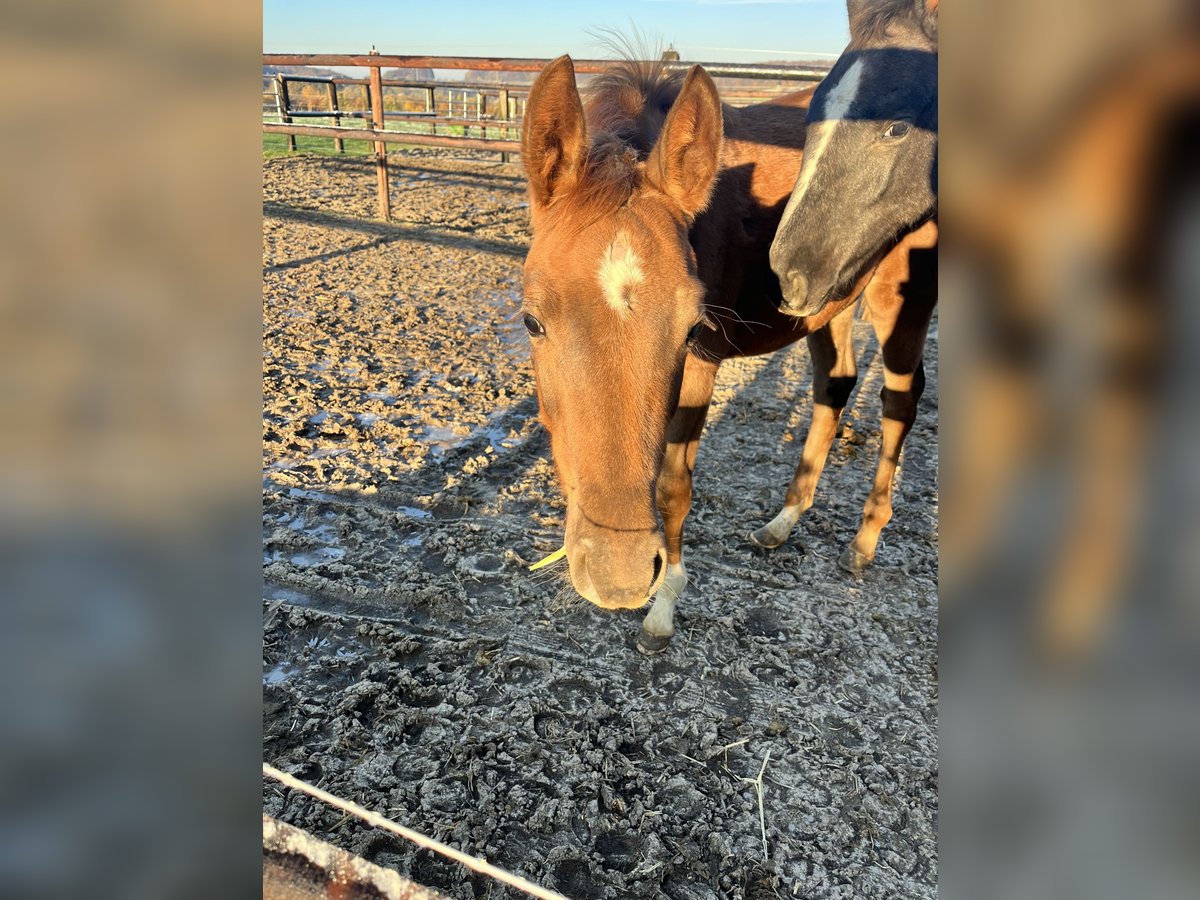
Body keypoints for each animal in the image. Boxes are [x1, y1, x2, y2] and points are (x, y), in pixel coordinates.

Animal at [525, 54, 936, 648]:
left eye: (690, 327)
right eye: (531, 322)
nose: (617, 575)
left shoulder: (702, 364)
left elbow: (674, 486)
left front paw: (663, 609)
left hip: (900, 299)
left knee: (900, 401)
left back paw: (864, 542)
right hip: (825, 303)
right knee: (834, 384)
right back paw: (784, 521)